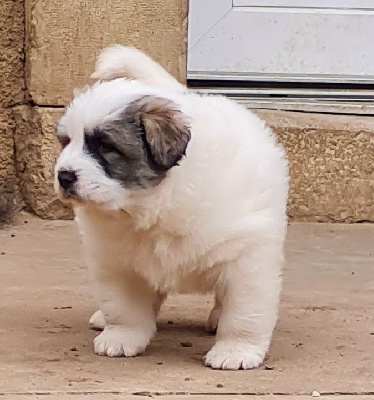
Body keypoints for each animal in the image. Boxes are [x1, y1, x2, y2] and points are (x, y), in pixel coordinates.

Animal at [54, 45, 290, 370]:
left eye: (106, 147)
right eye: (66, 142)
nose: (63, 176)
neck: (152, 208)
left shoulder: (247, 257)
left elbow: (244, 312)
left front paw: (236, 350)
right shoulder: (116, 261)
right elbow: (123, 306)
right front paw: (121, 337)